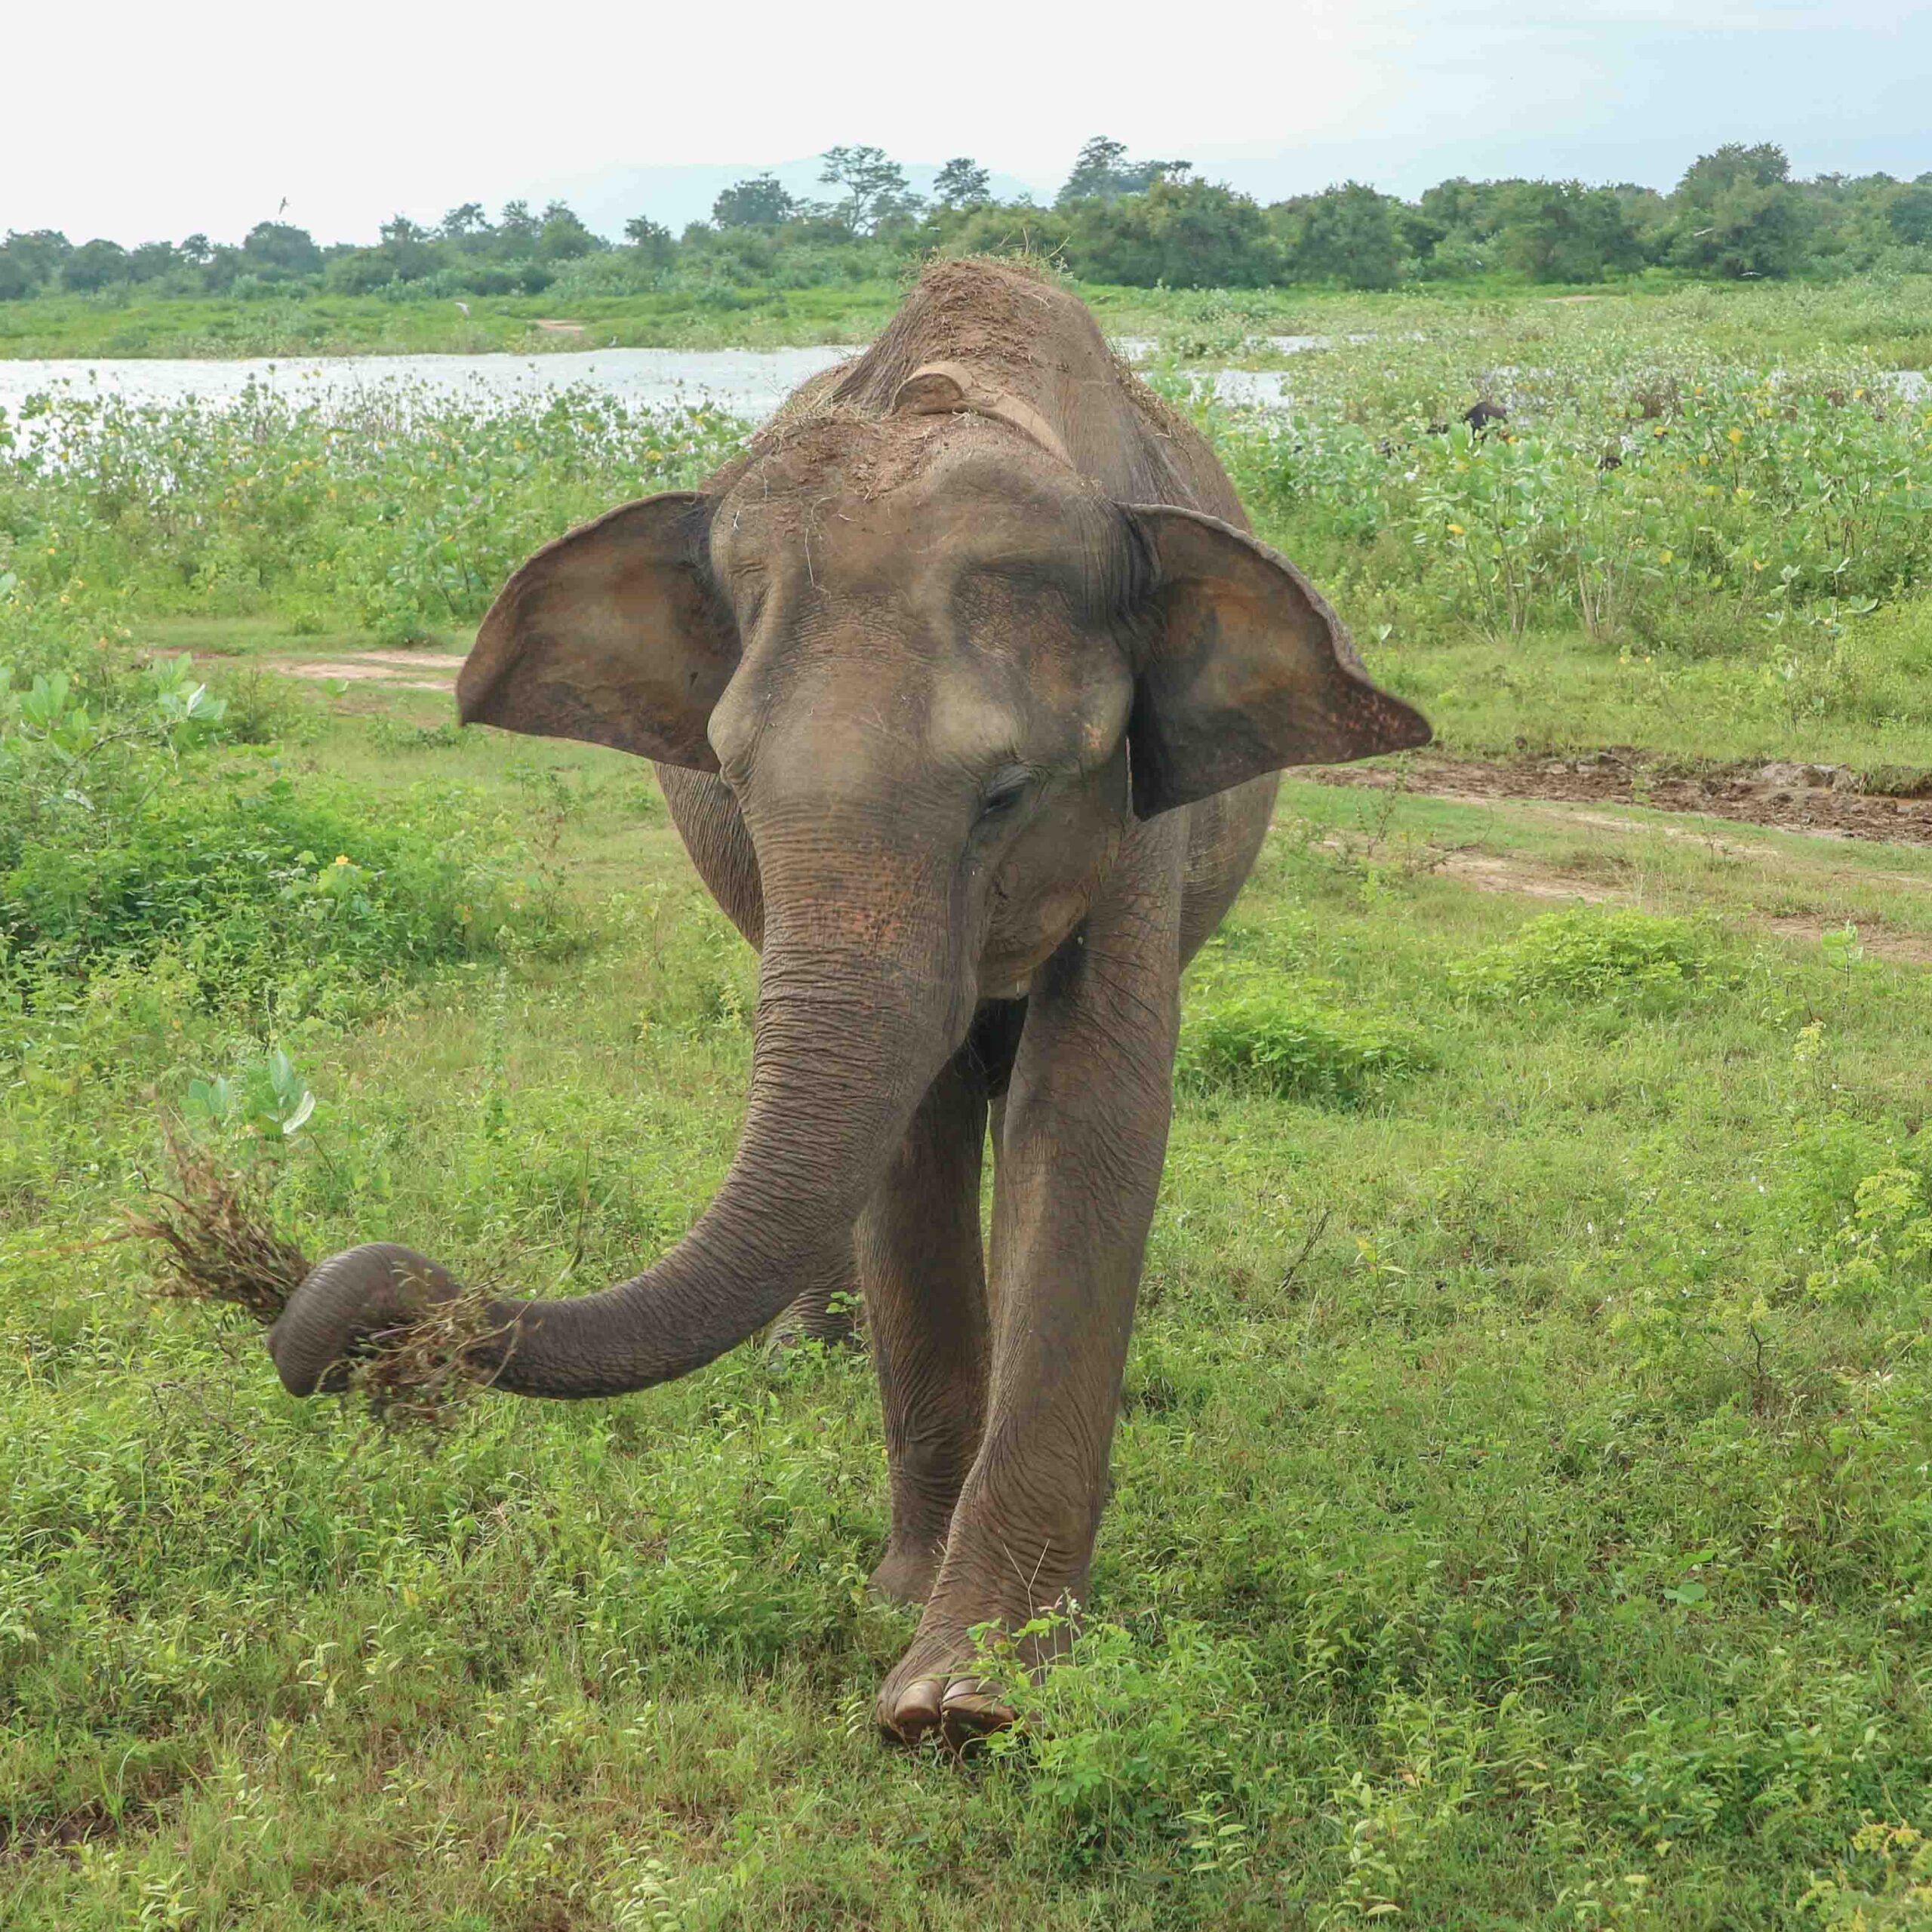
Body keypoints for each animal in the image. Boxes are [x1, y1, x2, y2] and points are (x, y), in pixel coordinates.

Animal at [266, 259, 1429, 1746]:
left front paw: (969, 1693)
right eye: (730, 776)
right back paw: (803, 1351)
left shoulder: (1138, 822)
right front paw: (905, 1606)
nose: (350, 1306)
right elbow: (912, 1146)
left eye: (1006, 794)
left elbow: (1086, 1115)